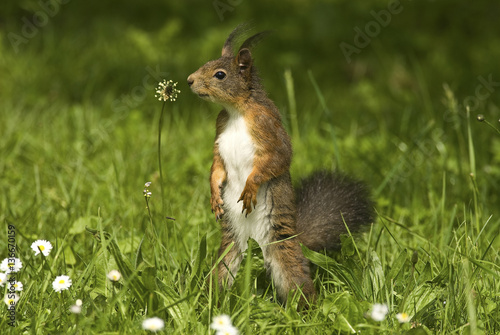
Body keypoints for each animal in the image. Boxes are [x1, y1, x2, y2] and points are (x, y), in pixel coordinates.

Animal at [186, 25, 374, 306]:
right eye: (206, 64)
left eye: (220, 74)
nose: (189, 80)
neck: (236, 112)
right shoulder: (219, 135)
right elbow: (217, 167)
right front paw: (214, 196)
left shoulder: (269, 127)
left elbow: (278, 159)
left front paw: (250, 188)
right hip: (229, 252)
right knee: (222, 274)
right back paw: (210, 303)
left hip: (282, 253)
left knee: (296, 280)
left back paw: (307, 309)